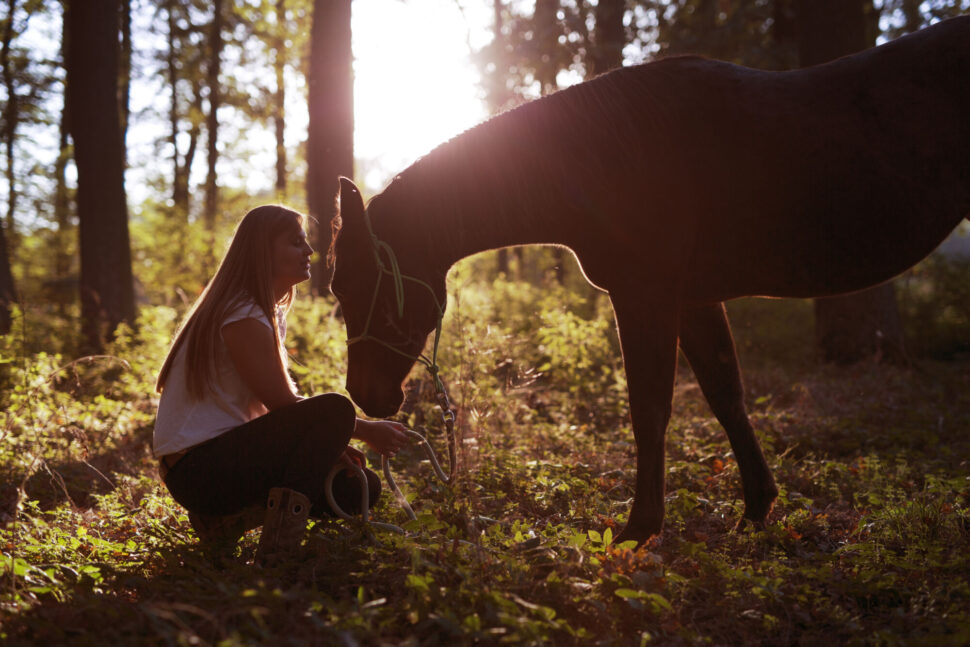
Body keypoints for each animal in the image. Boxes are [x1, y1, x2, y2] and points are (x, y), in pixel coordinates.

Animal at [328, 15, 968, 544]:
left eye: (355, 286)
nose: (365, 395)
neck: (611, 153)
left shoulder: (647, 295)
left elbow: (649, 408)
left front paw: (639, 528)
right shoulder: (696, 299)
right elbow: (725, 394)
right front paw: (756, 508)